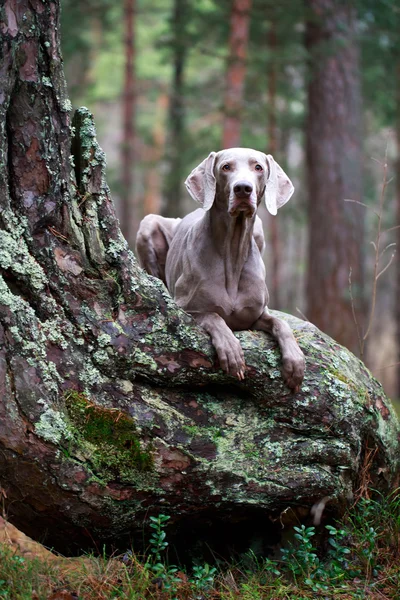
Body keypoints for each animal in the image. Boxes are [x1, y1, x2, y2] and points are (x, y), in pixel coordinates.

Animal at [136, 148, 304, 392]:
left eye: (258, 167)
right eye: (226, 167)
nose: (243, 188)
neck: (232, 253)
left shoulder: (255, 316)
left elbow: (280, 324)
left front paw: (295, 362)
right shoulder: (185, 307)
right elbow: (213, 316)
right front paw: (231, 351)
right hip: (148, 224)